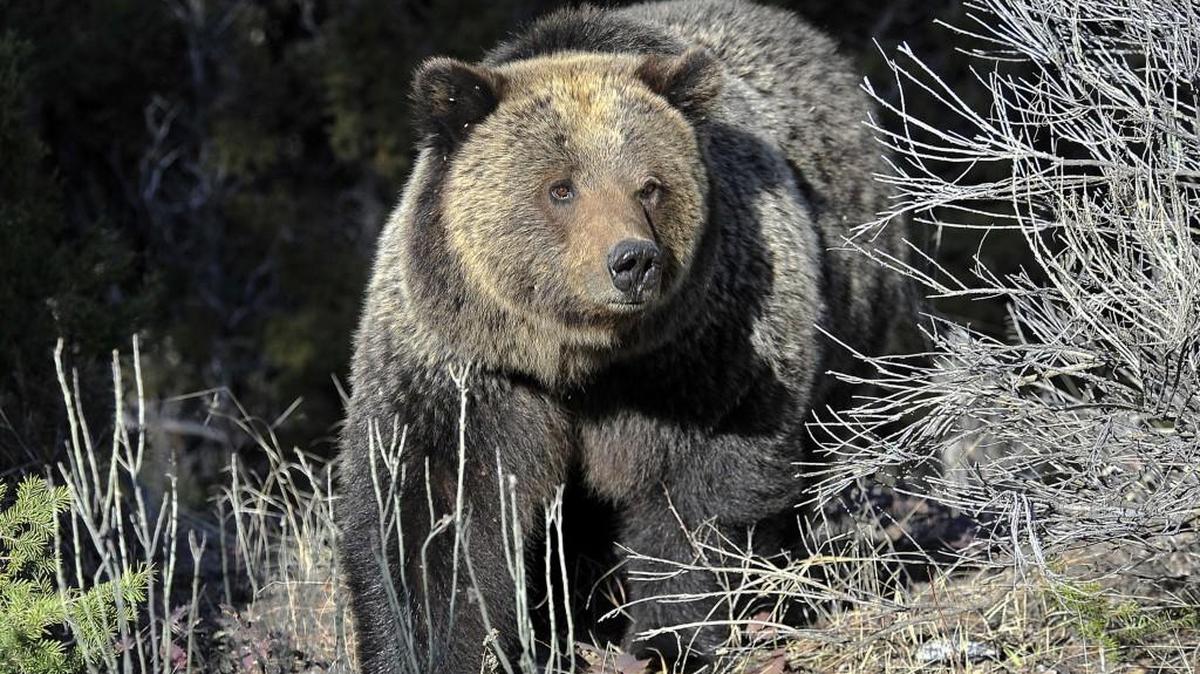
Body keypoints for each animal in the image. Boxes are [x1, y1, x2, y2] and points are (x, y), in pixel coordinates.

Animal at [336, 1, 910, 672]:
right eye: (561, 187)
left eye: (650, 185)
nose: (632, 261)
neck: (580, 360)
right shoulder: (468, 370)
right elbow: (434, 516)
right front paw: (432, 645)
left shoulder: (705, 356)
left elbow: (697, 503)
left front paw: (671, 640)